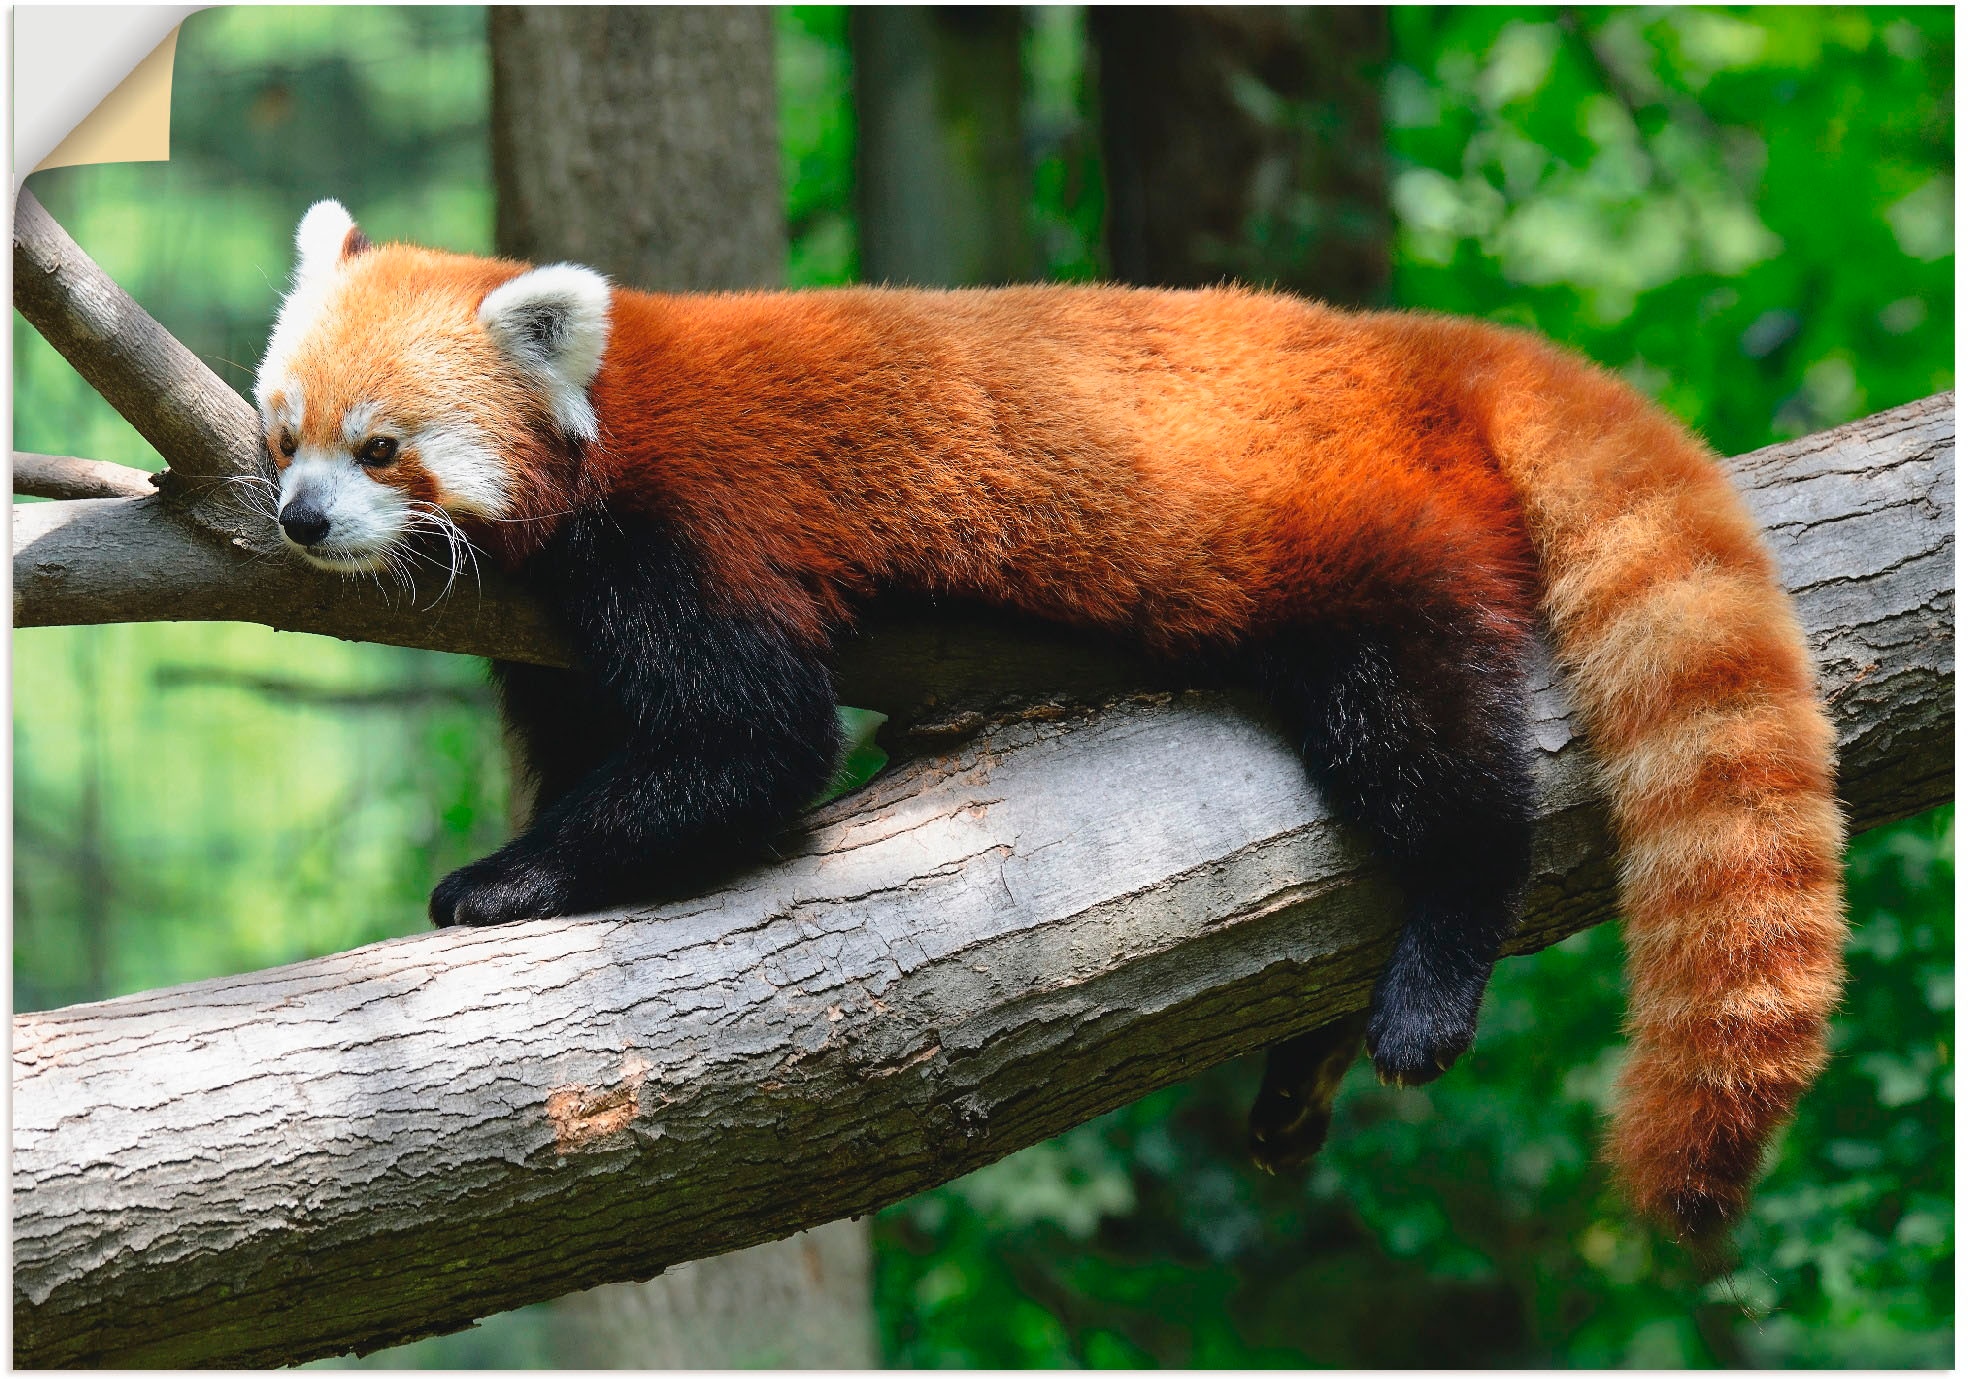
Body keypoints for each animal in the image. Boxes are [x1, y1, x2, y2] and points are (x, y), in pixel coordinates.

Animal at [257, 198, 1842, 1243]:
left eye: (381, 447)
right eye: (284, 431)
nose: (297, 518)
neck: (608, 402)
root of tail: (1415, 348)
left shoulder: (690, 532)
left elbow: (755, 742)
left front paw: (506, 876)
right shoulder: (546, 627)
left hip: (1374, 545)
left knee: (1433, 758)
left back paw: (1436, 966)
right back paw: (1307, 1062)